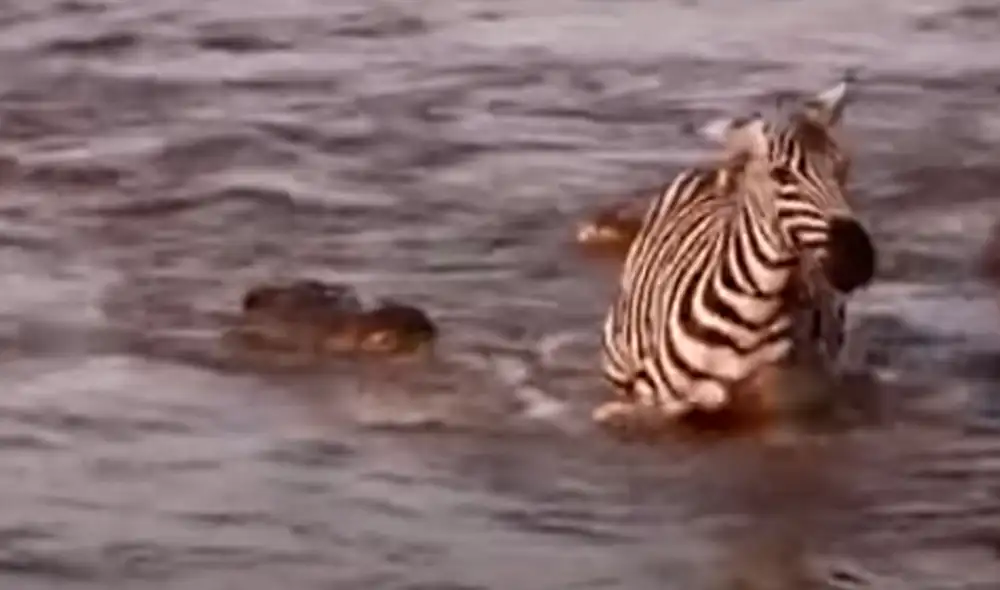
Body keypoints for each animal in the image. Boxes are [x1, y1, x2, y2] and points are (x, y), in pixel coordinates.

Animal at [596, 78, 876, 432]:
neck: (751, 315)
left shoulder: (790, 404)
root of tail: (716, 170)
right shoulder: (660, 403)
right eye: (782, 176)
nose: (858, 259)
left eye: (842, 169)